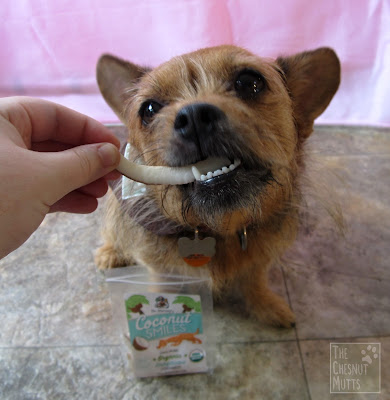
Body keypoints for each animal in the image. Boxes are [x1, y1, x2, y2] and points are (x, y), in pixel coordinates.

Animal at [96, 46, 340, 328]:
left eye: (249, 82)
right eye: (149, 109)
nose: (193, 118)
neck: (219, 226)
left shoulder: (259, 258)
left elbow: (255, 278)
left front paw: (266, 305)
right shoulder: (160, 269)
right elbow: (163, 287)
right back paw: (110, 253)